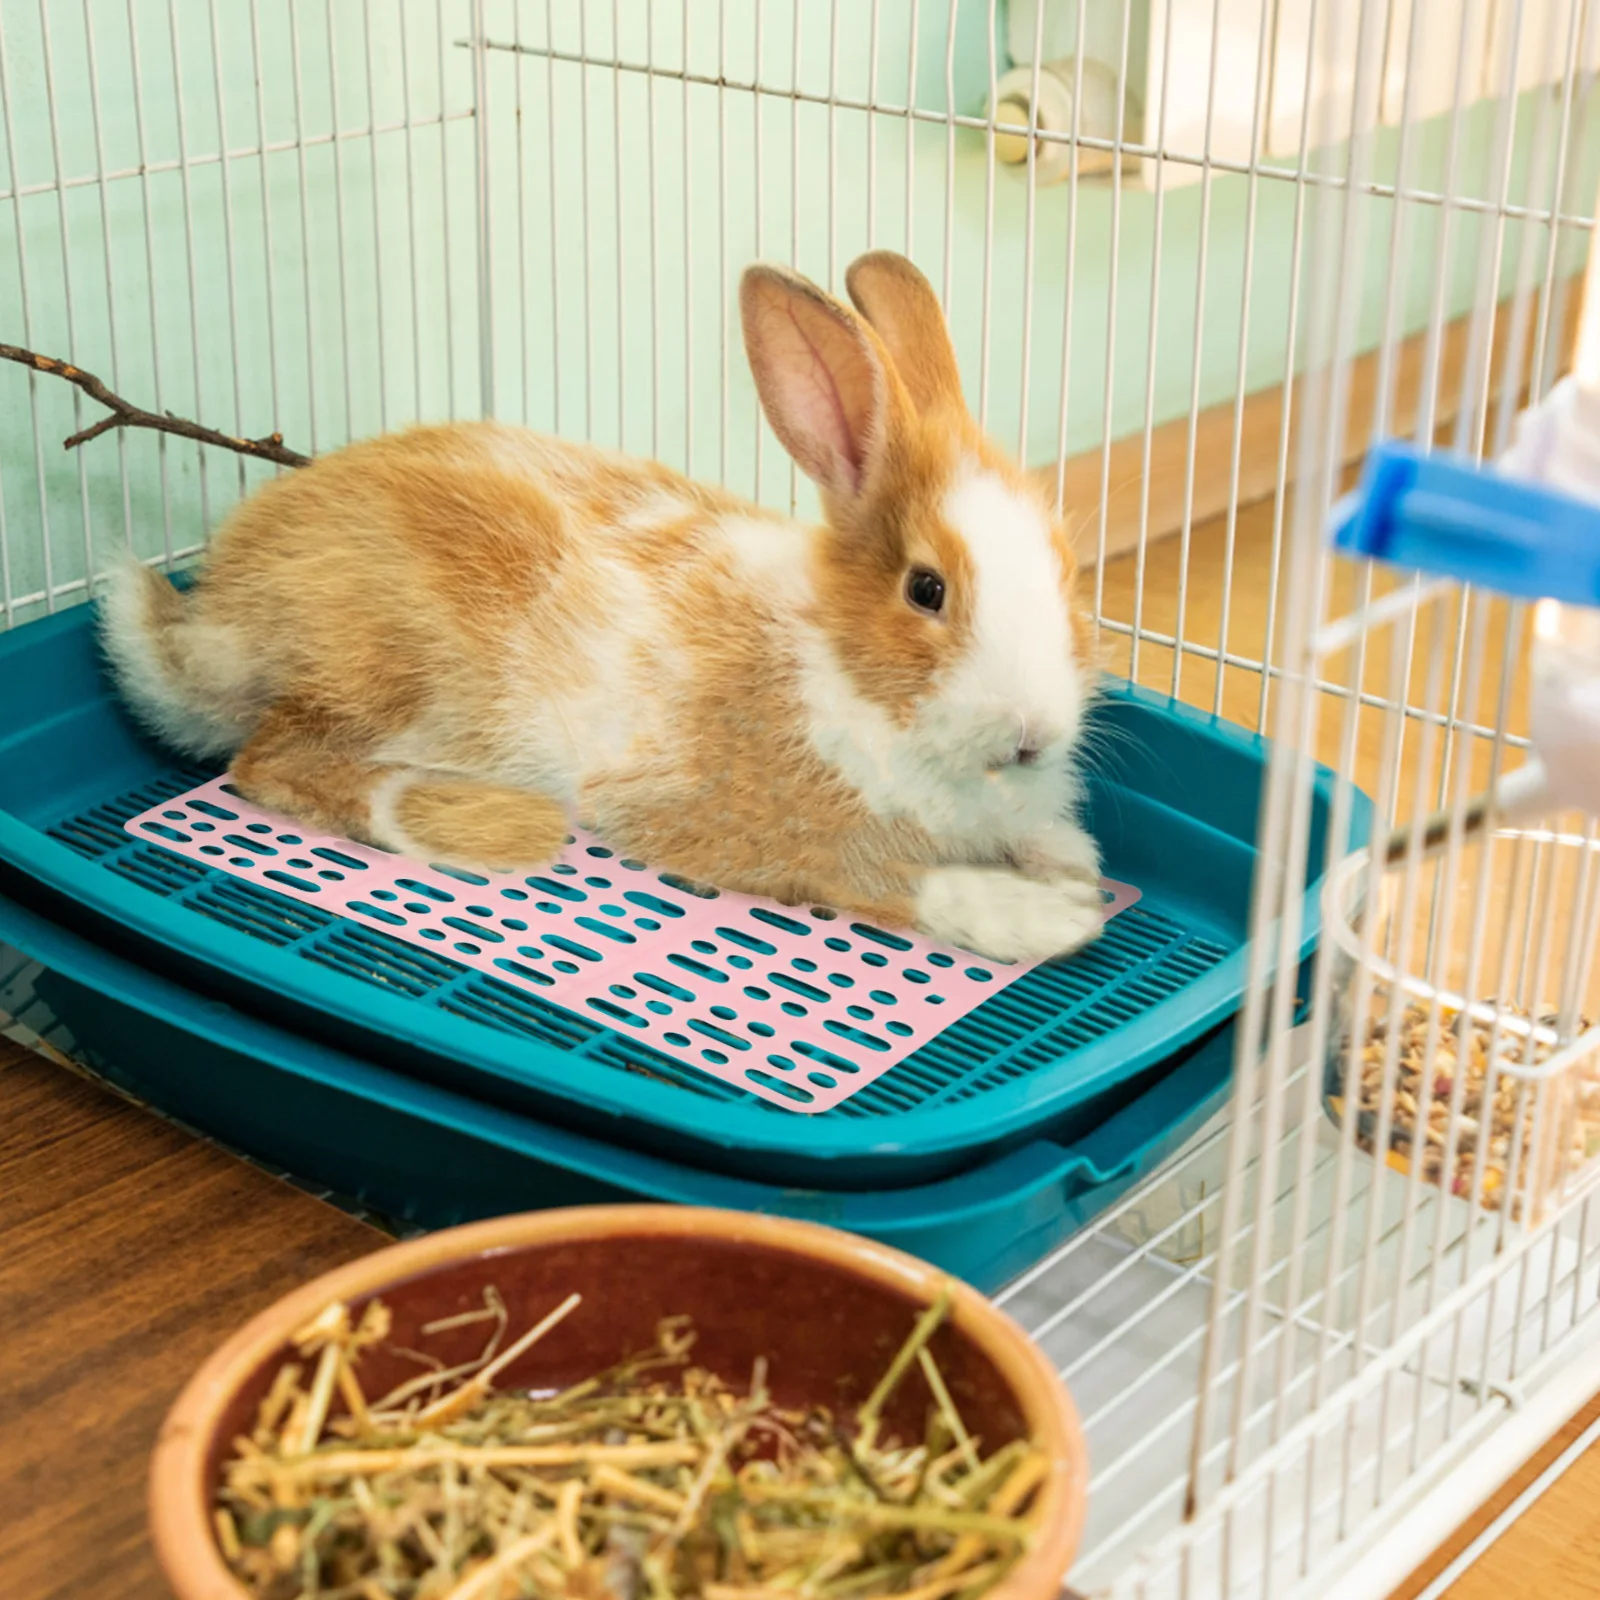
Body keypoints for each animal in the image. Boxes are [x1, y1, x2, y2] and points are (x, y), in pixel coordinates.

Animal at [99, 250, 1105, 963]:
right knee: (268, 762)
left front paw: (1072, 860)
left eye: (1063, 568)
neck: (846, 672)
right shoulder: (744, 831)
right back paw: (477, 822)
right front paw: (1050, 920)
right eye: (927, 590)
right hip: (386, 671)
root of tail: (211, 614)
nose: (1034, 735)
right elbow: (897, 879)